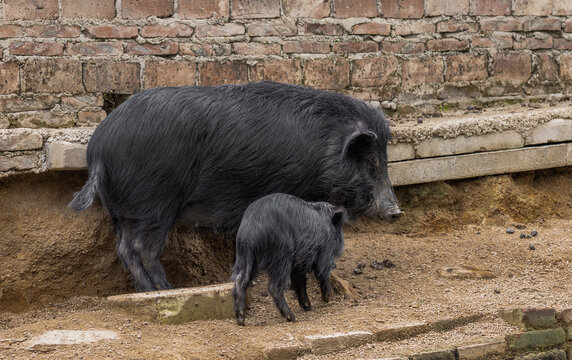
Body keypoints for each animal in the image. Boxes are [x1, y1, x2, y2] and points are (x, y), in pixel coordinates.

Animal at [70, 80, 402, 292]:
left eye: (385, 160)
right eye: (369, 160)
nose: (396, 211)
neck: (323, 150)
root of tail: (98, 149)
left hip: (122, 211)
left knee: (124, 248)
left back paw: (147, 290)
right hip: (156, 203)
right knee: (142, 247)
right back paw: (166, 289)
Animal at [230, 194, 346, 326]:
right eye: (339, 229)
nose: (335, 264)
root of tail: (251, 230)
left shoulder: (299, 262)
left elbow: (301, 281)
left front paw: (308, 307)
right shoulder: (324, 252)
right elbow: (322, 273)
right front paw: (327, 298)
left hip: (245, 257)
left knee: (240, 280)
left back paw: (241, 320)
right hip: (281, 256)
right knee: (273, 286)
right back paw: (293, 317)